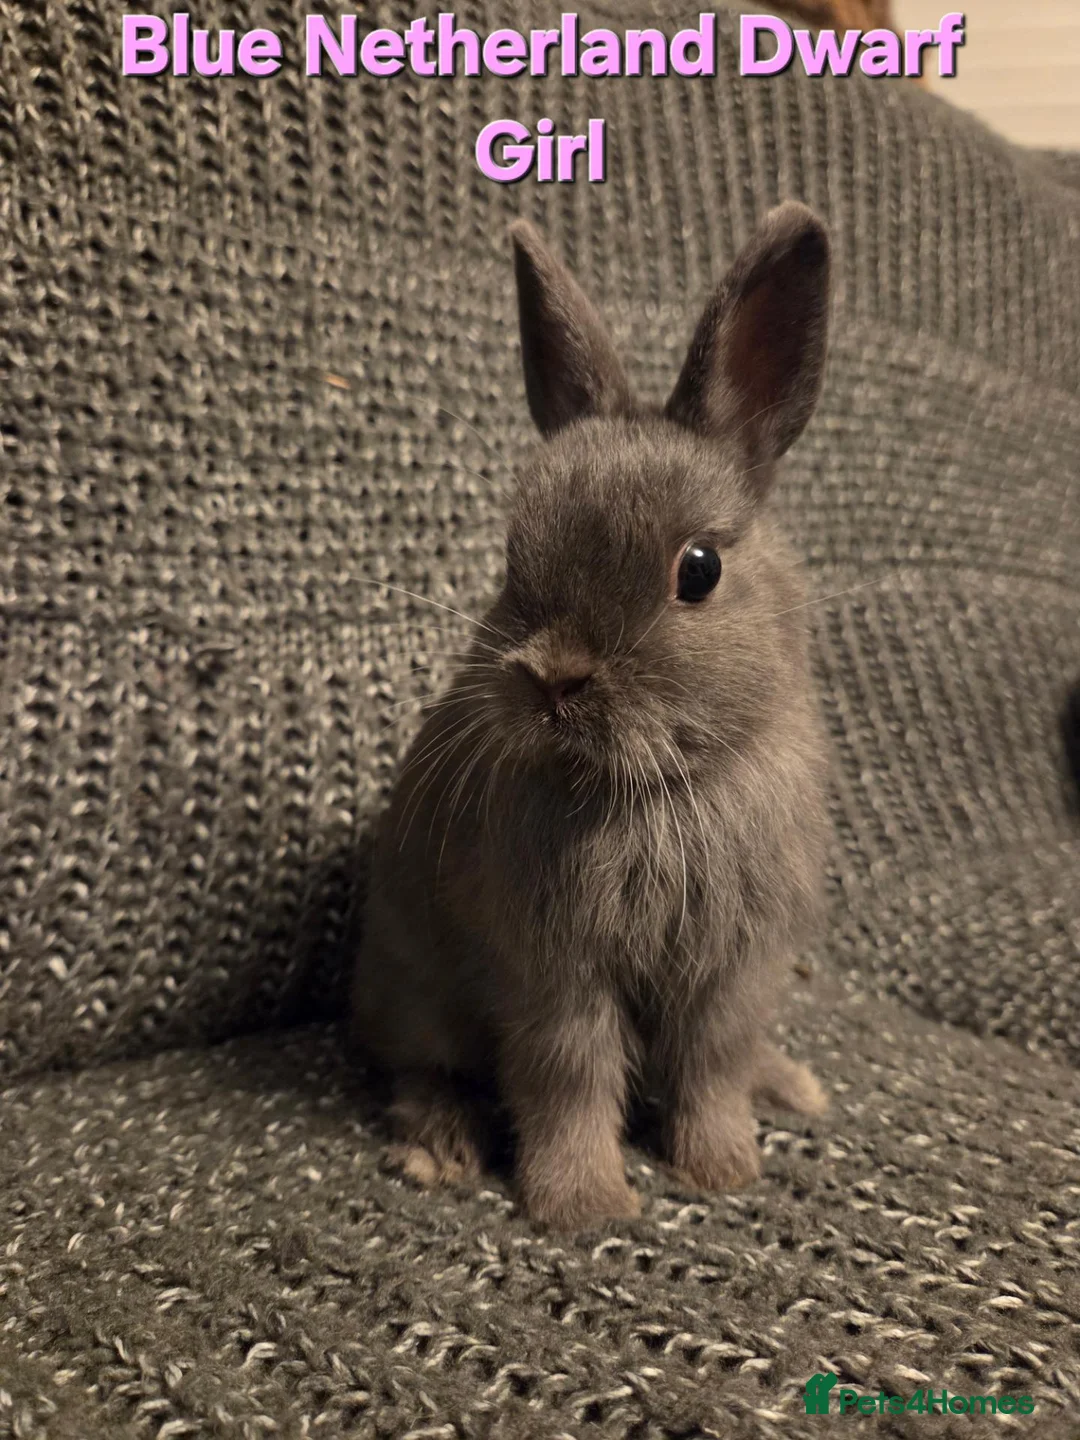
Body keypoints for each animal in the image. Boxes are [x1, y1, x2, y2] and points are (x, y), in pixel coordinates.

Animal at [350, 201, 833, 1230]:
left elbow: (714, 1067)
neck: (657, 787)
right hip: (415, 992)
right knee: (417, 1068)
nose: (552, 679)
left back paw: (792, 1087)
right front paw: (586, 1207)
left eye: (699, 570)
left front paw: (723, 1169)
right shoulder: (554, 971)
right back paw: (440, 1152)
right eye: (510, 559)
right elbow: (566, 1079)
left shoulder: (736, 970)